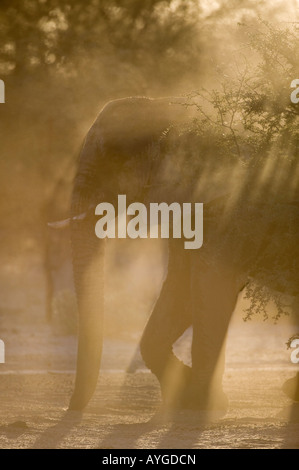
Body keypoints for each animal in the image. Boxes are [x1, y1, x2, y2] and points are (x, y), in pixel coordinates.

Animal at [66, 96, 299, 412]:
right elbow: (179, 289)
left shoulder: (228, 204)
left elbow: (211, 284)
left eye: (112, 165)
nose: (70, 408)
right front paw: (189, 395)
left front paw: (205, 403)